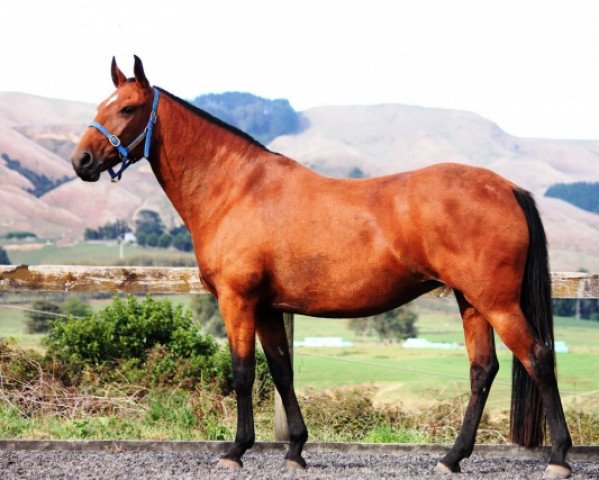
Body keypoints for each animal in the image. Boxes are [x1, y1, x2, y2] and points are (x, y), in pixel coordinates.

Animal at [72, 56, 576, 476]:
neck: (235, 189)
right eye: (102, 104)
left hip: (498, 303)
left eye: (129, 108)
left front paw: (236, 450)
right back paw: (452, 458)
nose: (82, 161)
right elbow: (281, 370)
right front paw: (295, 450)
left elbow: (242, 372)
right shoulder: (269, 308)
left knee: (538, 358)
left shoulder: (238, 301)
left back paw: (558, 458)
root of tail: (507, 187)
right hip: (470, 301)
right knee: (482, 370)